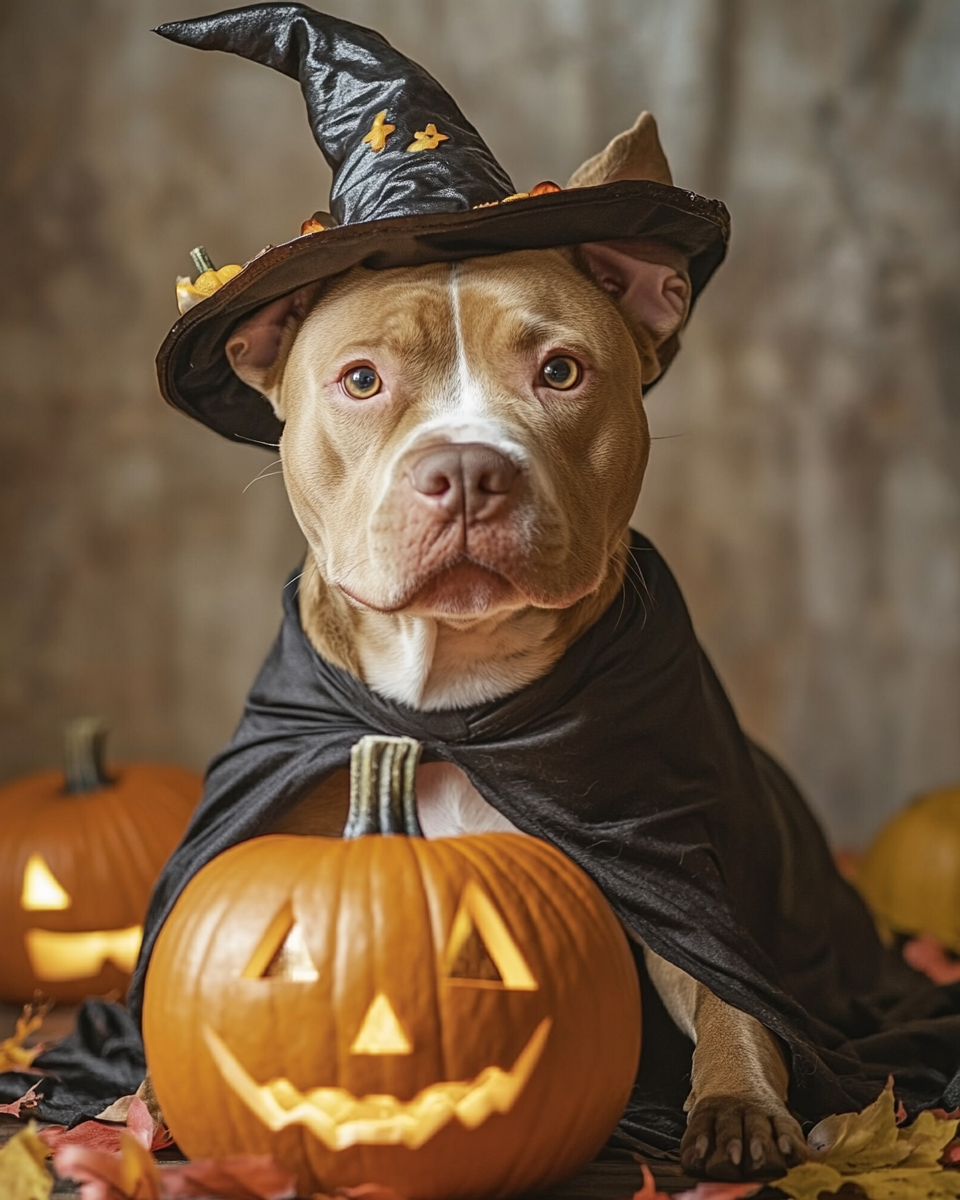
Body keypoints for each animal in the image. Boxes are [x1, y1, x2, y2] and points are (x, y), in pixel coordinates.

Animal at [212, 112, 811, 1180]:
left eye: (560, 371)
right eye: (361, 380)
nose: (463, 469)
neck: (459, 703)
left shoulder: (681, 879)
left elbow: (731, 995)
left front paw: (739, 1106)